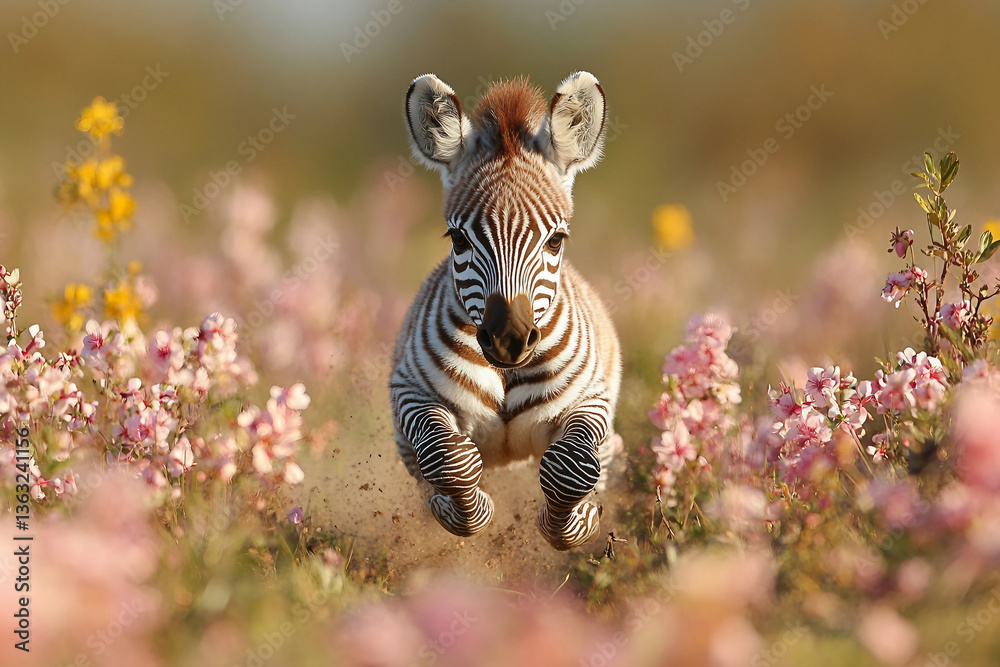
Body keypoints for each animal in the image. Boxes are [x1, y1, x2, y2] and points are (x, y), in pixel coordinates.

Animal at [390, 71, 621, 550]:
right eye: (458, 239)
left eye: (556, 241)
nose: (508, 340)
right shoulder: (412, 391)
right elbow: (447, 458)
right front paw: (460, 510)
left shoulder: (590, 401)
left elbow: (572, 468)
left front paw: (575, 521)